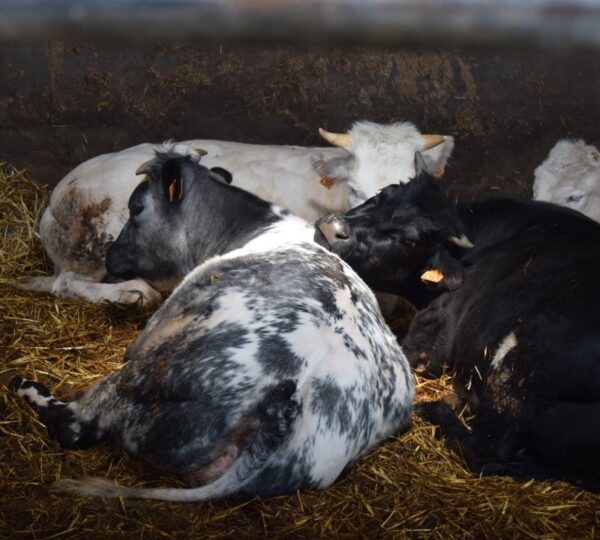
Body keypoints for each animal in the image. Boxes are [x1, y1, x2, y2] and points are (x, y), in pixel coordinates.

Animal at [16, 122, 452, 306]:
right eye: (358, 189)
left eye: (408, 185)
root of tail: (54, 200)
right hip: (96, 245)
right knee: (69, 284)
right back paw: (132, 292)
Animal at [314, 153, 600, 490]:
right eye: (380, 196)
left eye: (406, 240)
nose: (332, 227)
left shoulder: (431, 341)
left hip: (515, 369)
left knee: (486, 452)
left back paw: (437, 408)